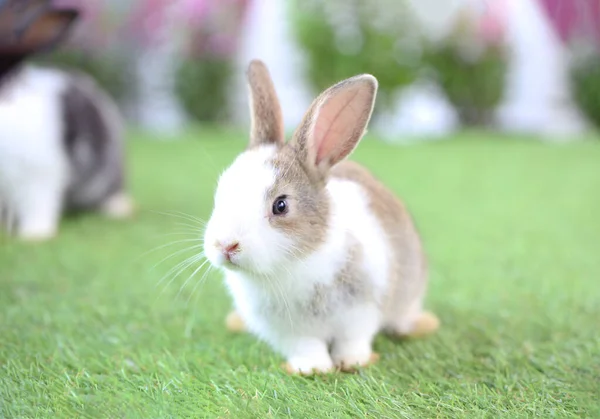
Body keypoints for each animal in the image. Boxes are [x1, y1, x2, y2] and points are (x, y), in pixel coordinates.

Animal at [203, 60, 440, 378]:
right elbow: (307, 347)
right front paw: (312, 369)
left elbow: (353, 341)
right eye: (220, 192)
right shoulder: (289, 332)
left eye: (280, 205)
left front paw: (352, 363)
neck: (294, 263)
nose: (226, 245)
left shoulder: (361, 313)